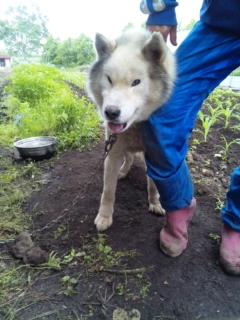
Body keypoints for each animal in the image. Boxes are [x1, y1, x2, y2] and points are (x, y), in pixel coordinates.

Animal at [87, 29, 175, 230]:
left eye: (136, 82)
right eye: (109, 79)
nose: (111, 112)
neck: (137, 124)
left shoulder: (155, 156)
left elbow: (153, 185)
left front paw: (155, 203)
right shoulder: (112, 154)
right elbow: (108, 191)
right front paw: (104, 217)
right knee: (129, 158)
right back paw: (123, 172)